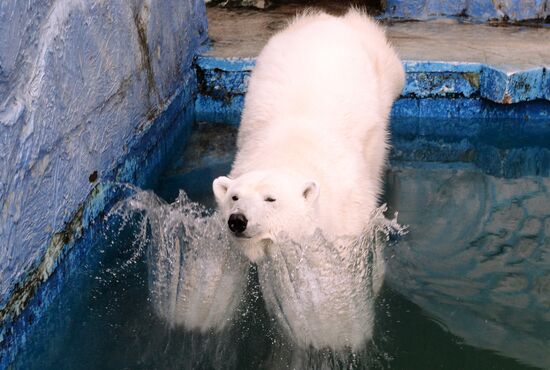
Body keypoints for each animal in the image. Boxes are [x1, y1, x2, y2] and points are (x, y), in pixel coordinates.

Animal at [211, 7, 406, 350]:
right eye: (234, 196)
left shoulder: (346, 209)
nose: (237, 220)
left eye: (271, 199)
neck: (288, 151)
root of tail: (335, 19)